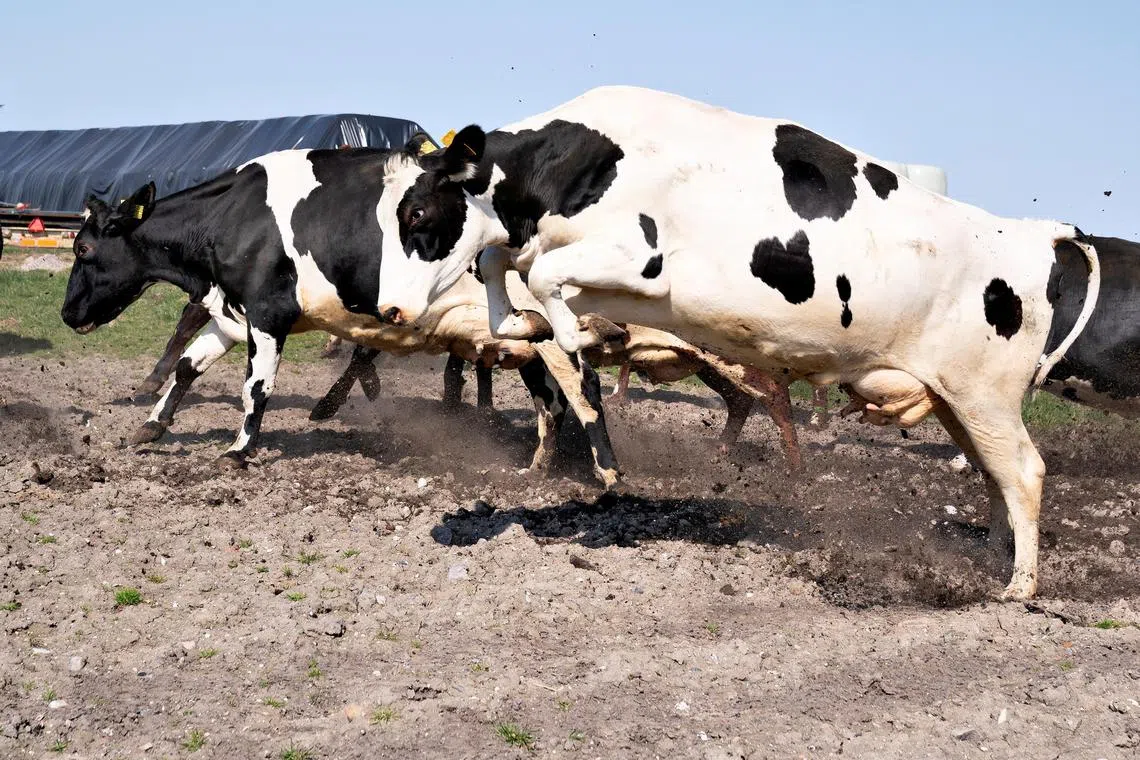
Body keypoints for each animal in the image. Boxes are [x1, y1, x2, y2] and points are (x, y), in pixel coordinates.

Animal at [361, 85, 1101, 600]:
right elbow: (499, 263)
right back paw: (995, 559)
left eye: (420, 213)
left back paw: (1019, 587)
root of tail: (1031, 238)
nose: (390, 306)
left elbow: (539, 276)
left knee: (1024, 471)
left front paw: (574, 329)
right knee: (994, 475)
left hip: (986, 395)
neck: (587, 160)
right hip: (956, 400)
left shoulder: (640, 260)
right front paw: (527, 324)